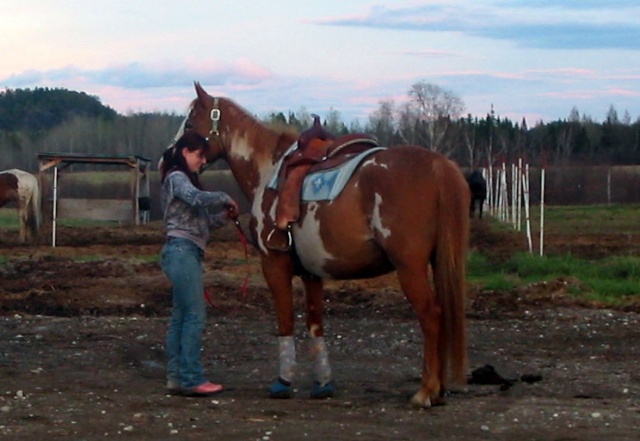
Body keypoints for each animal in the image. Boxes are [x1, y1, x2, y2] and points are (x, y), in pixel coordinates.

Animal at [170, 81, 470, 406]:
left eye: (190, 123)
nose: (168, 157)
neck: (269, 168)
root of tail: (438, 164)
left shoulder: (274, 264)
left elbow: (285, 321)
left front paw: (283, 382)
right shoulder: (312, 272)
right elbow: (315, 325)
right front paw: (323, 384)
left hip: (410, 267)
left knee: (431, 315)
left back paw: (426, 391)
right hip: (436, 262)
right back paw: (437, 390)